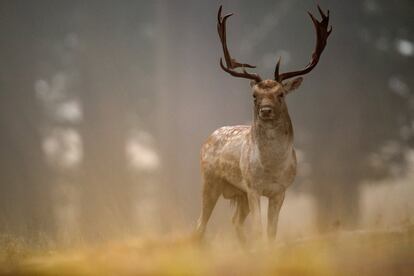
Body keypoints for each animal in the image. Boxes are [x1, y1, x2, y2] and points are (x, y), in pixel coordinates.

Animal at [195, 4, 334, 244]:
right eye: (254, 96)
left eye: (281, 94)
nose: (266, 110)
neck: (273, 168)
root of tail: (208, 138)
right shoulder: (252, 187)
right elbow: (259, 231)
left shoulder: (281, 190)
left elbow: (271, 232)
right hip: (210, 181)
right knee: (200, 225)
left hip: (238, 193)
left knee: (235, 221)